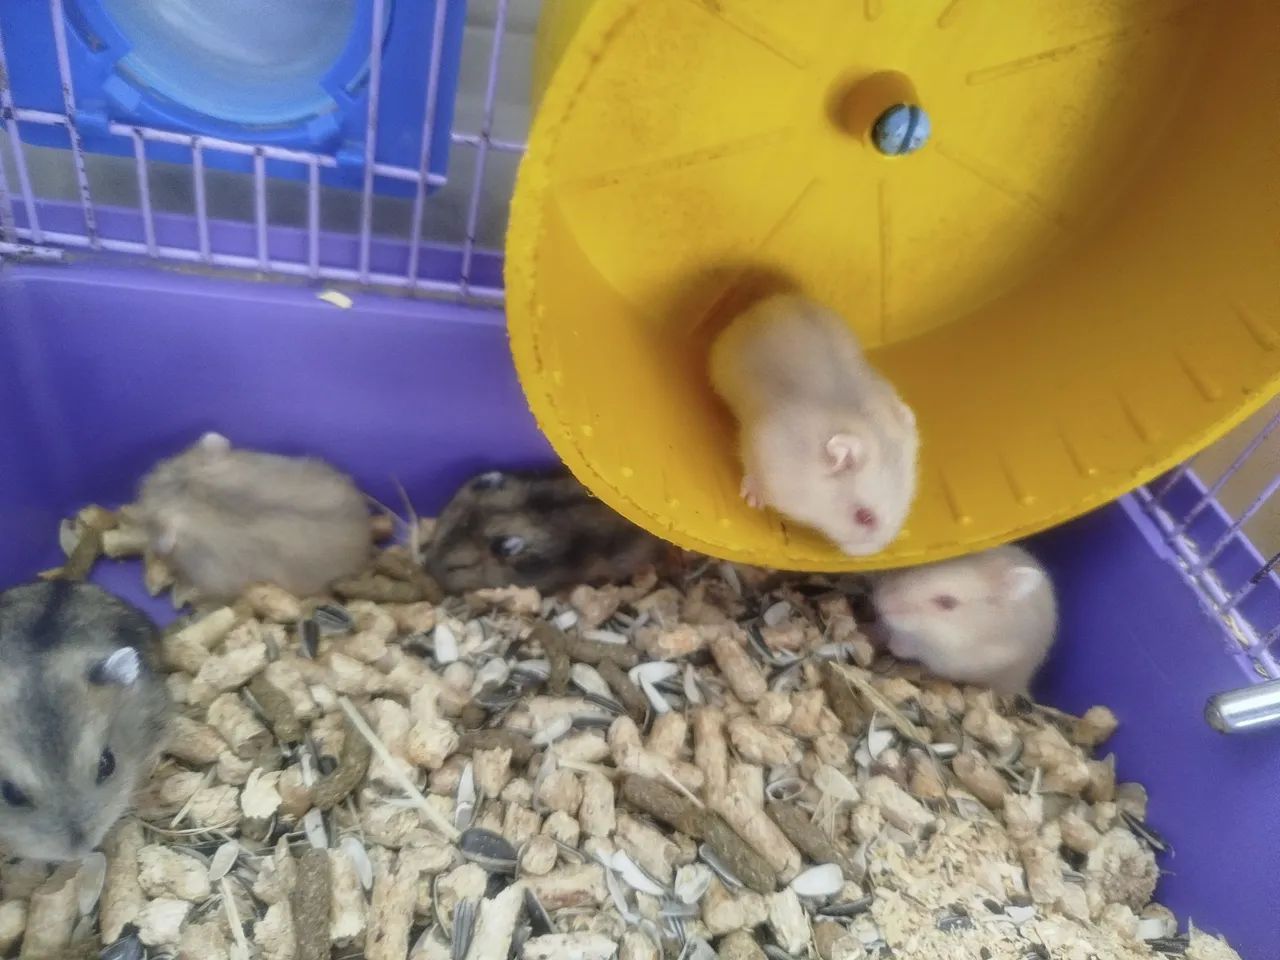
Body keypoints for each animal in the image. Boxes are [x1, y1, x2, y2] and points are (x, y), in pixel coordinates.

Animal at [871, 544, 1057, 694]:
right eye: (917, 566)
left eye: (947, 602)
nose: (882, 603)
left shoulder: (949, 658)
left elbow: (911, 648)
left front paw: (894, 646)